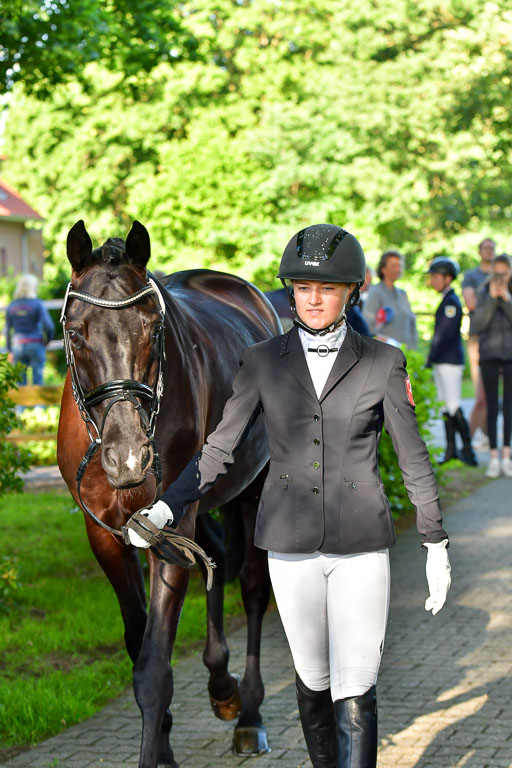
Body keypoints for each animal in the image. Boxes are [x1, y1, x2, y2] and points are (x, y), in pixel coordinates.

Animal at [58, 220, 282, 768]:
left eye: (154, 329)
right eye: (75, 332)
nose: (128, 457)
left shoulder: (168, 525)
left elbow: (153, 670)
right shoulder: (105, 534)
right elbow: (136, 640)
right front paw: (163, 742)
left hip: (254, 485)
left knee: (252, 585)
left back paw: (248, 711)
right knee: (217, 555)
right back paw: (223, 687)